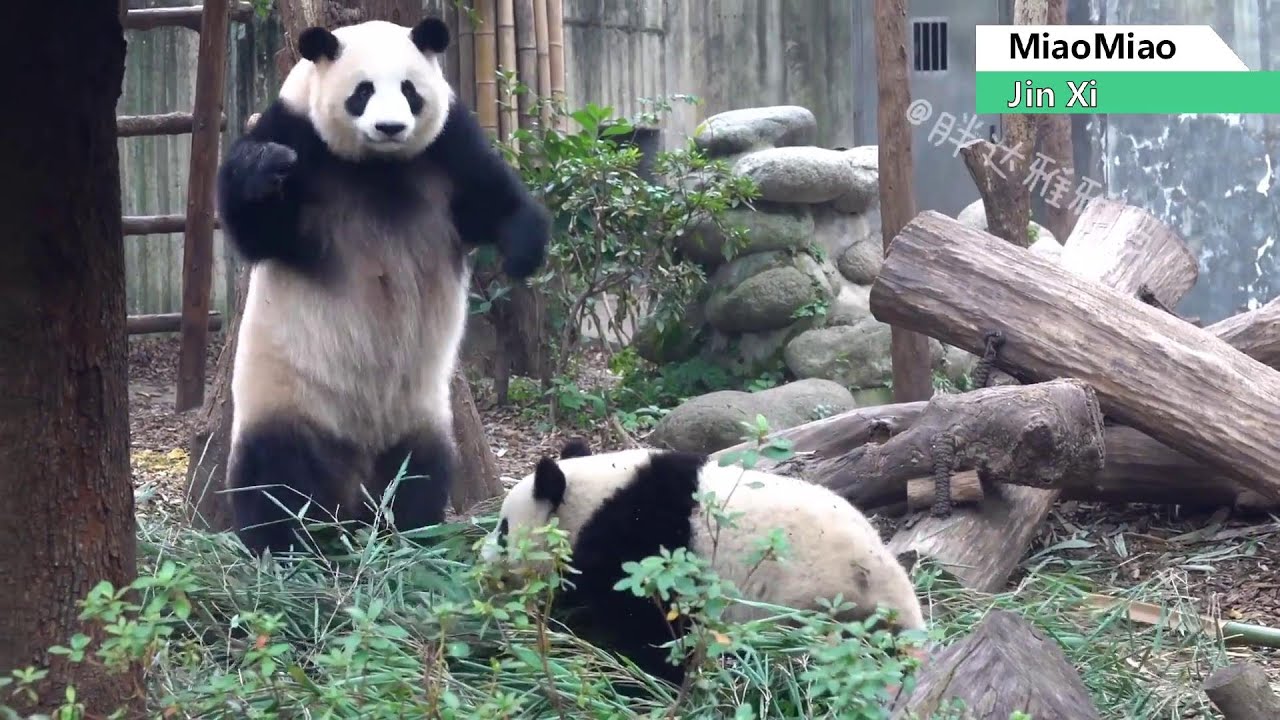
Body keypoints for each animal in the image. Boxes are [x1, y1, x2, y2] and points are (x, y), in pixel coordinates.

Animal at [217, 16, 550, 557]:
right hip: (288, 397)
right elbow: (256, 229)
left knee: (420, 471)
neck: (377, 166)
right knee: (274, 476)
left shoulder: (449, 148)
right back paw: (286, 546)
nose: (391, 128)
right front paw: (265, 166)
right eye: (363, 92)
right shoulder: (299, 134)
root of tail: (351, 489)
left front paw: (522, 255)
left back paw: (408, 535)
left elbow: (496, 199)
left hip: (419, 415)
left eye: (410, 91)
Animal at [480, 441, 928, 684]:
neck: (592, 501)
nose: (483, 564)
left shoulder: (640, 543)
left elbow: (645, 625)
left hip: (824, 602)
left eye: (504, 530)